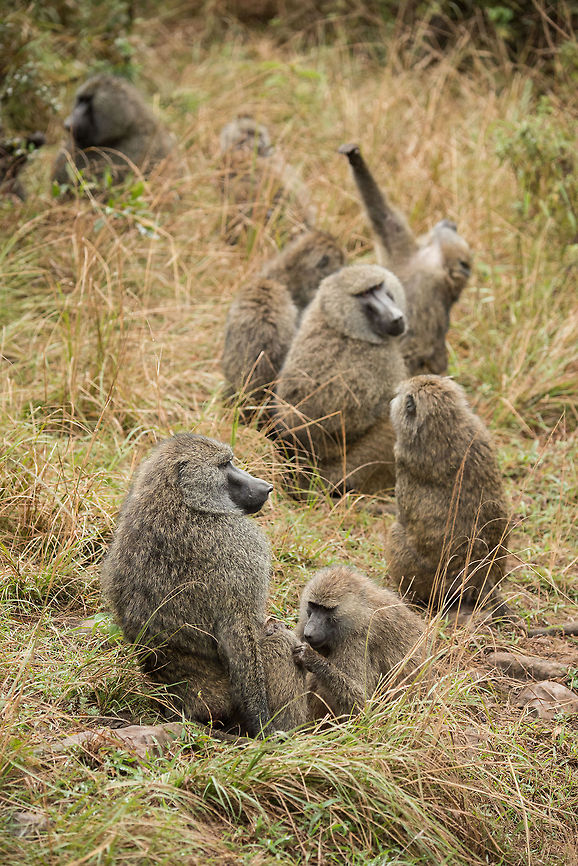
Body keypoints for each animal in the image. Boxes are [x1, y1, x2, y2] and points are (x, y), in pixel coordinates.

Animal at [100, 433, 308, 737]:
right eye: (223, 465)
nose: (266, 487)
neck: (179, 498)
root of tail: (183, 702)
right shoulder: (239, 544)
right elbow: (239, 633)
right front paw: (262, 725)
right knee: (279, 643)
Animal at [272, 263, 408, 496]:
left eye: (378, 287)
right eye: (365, 294)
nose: (396, 317)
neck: (335, 324)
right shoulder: (383, 360)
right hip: (350, 469)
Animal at [294, 566, 426, 719]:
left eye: (326, 609)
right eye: (313, 606)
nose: (308, 633)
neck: (360, 610)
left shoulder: (359, 640)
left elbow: (361, 705)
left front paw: (311, 658)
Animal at [339, 143, 472, 376]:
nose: (451, 223)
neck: (430, 267)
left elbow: (422, 348)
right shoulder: (403, 254)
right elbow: (385, 218)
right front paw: (354, 157)